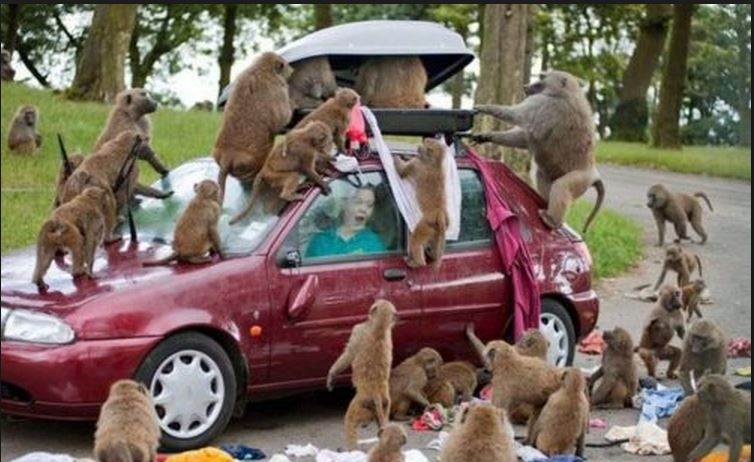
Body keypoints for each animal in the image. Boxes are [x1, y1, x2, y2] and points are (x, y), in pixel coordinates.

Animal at [213, 51, 294, 203]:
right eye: (285, 64)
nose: (292, 70)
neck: (261, 68)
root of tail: (227, 156)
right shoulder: (278, 88)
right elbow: (280, 119)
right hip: (251, 162)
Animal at [326, 300, 397, 449]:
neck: (379, 329)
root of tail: (376, 392)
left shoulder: (358, 331)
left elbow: (348, 354)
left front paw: (332, 375)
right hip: (385, 403)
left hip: (362, 403)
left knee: (350, 421)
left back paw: (352, 450)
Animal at [393, 138, 448, 269]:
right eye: (427, 141)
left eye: (426, 145)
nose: (419, 147)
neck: (435, 163)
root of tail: (439, 212)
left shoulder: (416, 163)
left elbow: (401, 172)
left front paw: (397, 157)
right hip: (437, 229)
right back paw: (433, 255)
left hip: (427, 224)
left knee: (416, 239)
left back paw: (417, 263)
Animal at [472, 70, 604, 233]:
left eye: (542, 78)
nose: (525, 86)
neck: (566, 93)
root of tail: (594, 173)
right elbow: (524, 138)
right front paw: (485, 136)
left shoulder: (543, 103)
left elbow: (516, 115)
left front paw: (484, 108)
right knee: (543, 175)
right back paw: (545, 204)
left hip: (580, 179)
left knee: (561, 186)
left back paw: (551, 221)